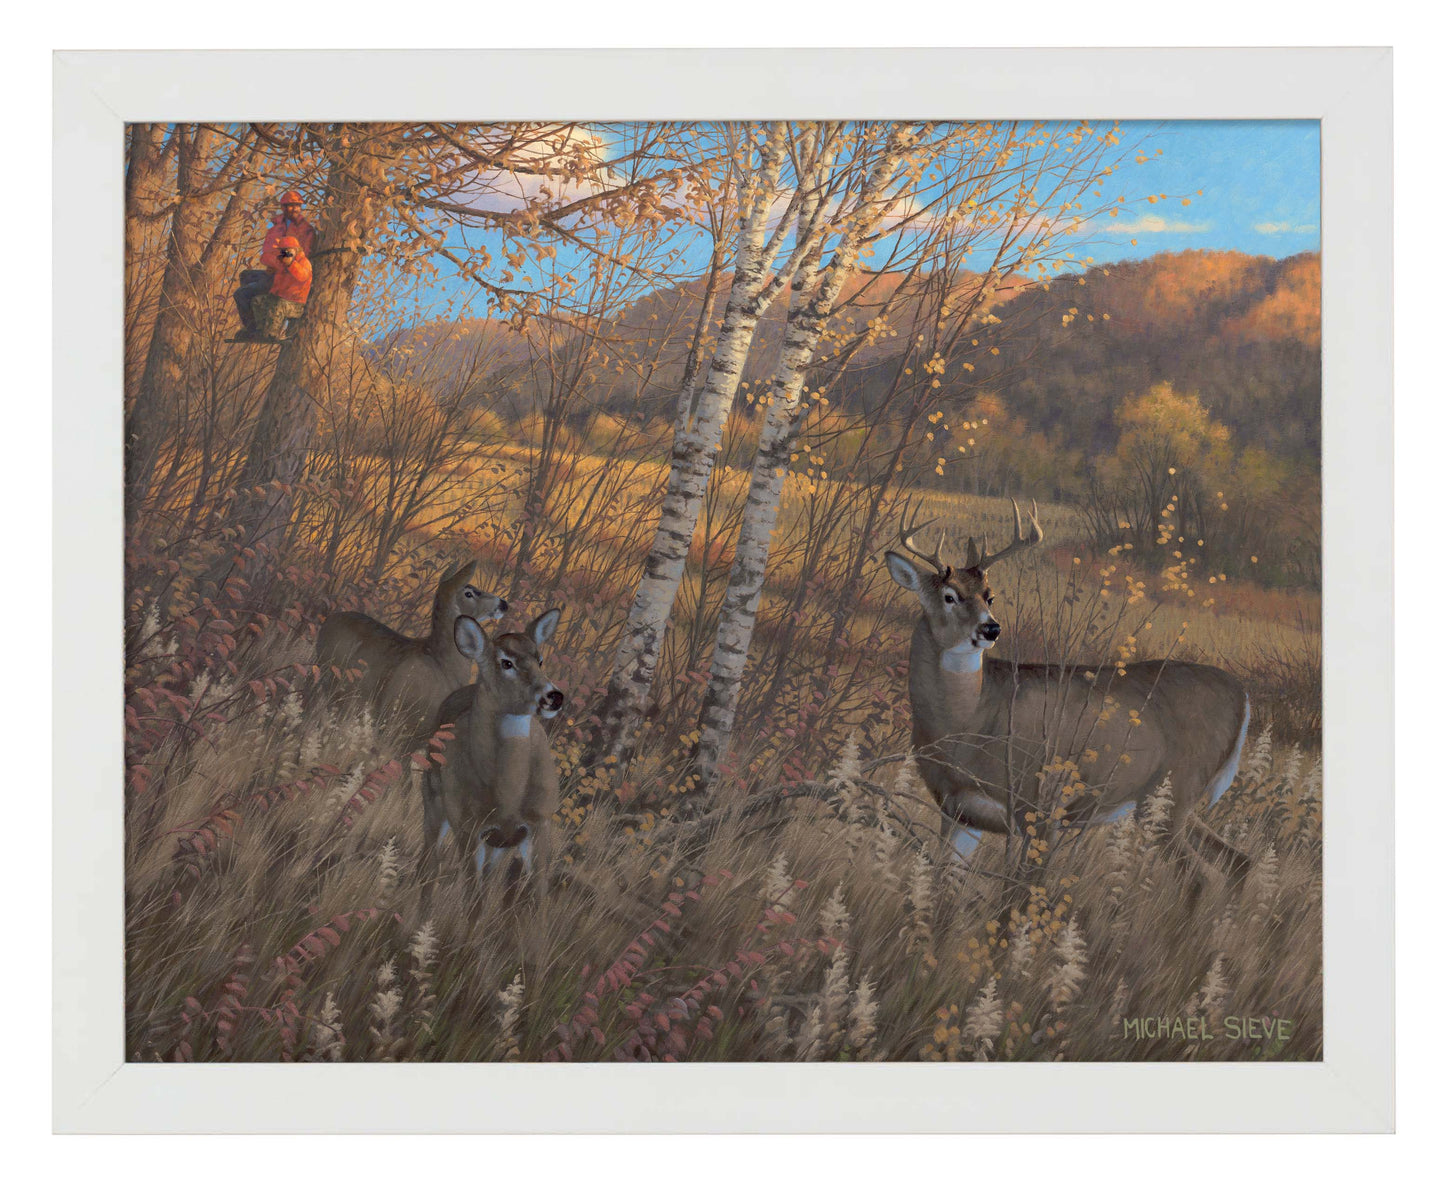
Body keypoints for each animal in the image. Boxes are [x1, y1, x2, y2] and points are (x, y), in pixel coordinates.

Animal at [419, 609, 564, 907]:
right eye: (506, 662)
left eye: (540, 660)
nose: (554, 696)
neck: (508, 797)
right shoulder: (468, 826)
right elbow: (472, 899)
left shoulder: (540, 822)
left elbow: (539, 896)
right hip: (434, 799)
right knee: (430, 863)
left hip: (496, 844)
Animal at [883, 500, 1250, 871]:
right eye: (949, 596)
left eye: (990, 596)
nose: (991, 629)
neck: (969, 721)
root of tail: (1243, 695)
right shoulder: (959, 811)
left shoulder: (1041, 805)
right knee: (1239, 861)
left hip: (1172, 793)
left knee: (1203, 874)